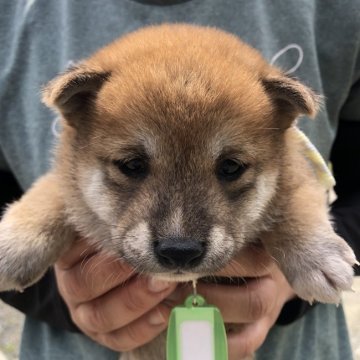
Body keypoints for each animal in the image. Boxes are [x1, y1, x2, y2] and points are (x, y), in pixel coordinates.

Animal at [0, 23, 356, 358]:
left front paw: (317, 255)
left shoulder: (295, 177)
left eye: (230, 167)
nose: (179, 250)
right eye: (132, 165)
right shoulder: (65, 179)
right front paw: (13, 245)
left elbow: (297, 205)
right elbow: (48, 194)